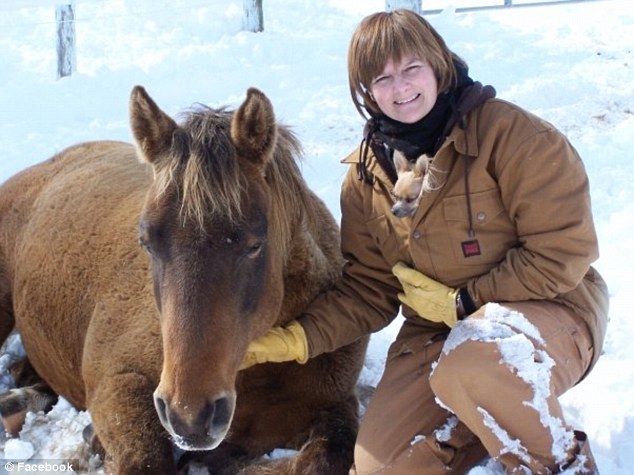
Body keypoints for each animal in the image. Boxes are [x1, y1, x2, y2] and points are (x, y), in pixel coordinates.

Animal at [0, 87, 366, 474]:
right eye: (146, 242)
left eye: (255, 246)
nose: (190, 416)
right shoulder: (120, 384)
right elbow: (145, 461)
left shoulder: (333, 404)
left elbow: (329, 453)